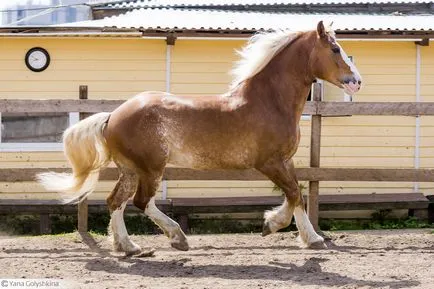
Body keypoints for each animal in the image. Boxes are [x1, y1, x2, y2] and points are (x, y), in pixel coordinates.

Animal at [37, 20, 362, 254]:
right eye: (335, 49)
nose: (357, 82)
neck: (269, 101)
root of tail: (112, 116)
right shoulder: (270, 163)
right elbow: (294, 194)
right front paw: (275, 226)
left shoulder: (286, 161)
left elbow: (299, 196)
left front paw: (306, 236)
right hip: (151, 167)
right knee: (142, 201)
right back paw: (176, 238)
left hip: (130, 169)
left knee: (116, 201)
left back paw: (129, 247)